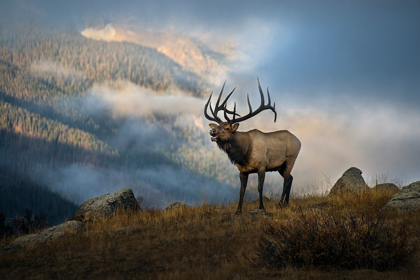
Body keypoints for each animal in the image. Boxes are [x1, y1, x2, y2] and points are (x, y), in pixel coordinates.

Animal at [204, 77, 300, 213]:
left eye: (227, 128)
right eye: (217, 126)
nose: (212, 131)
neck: (244, 154)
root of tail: (299, 141)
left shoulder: (262, 166)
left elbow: (260, 188)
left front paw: (261, 207)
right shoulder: (243, 171)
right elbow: (241, 191)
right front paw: (238, 211)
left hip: (290, 159)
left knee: (286, 181)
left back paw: (280, 204)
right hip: (280, 166)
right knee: (291, 178)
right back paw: (286, 203)